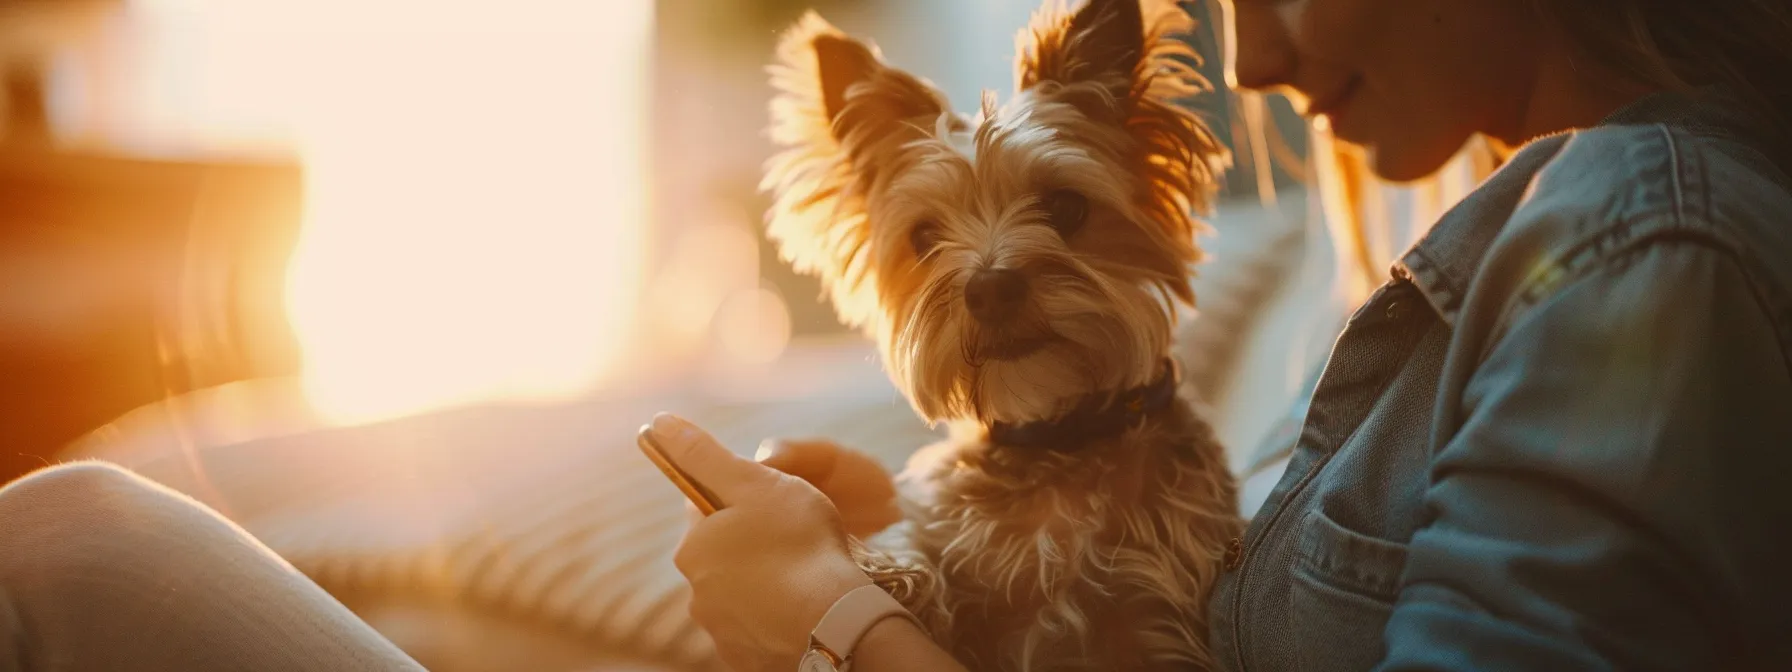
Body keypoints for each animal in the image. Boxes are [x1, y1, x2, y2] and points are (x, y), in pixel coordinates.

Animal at [763, 1, 1240, 670]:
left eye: (1065, 207)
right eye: (924, 237)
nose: (989, 289)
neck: (1055, 434)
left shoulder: (1154, 614)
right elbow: (923, 548)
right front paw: (890, 568)